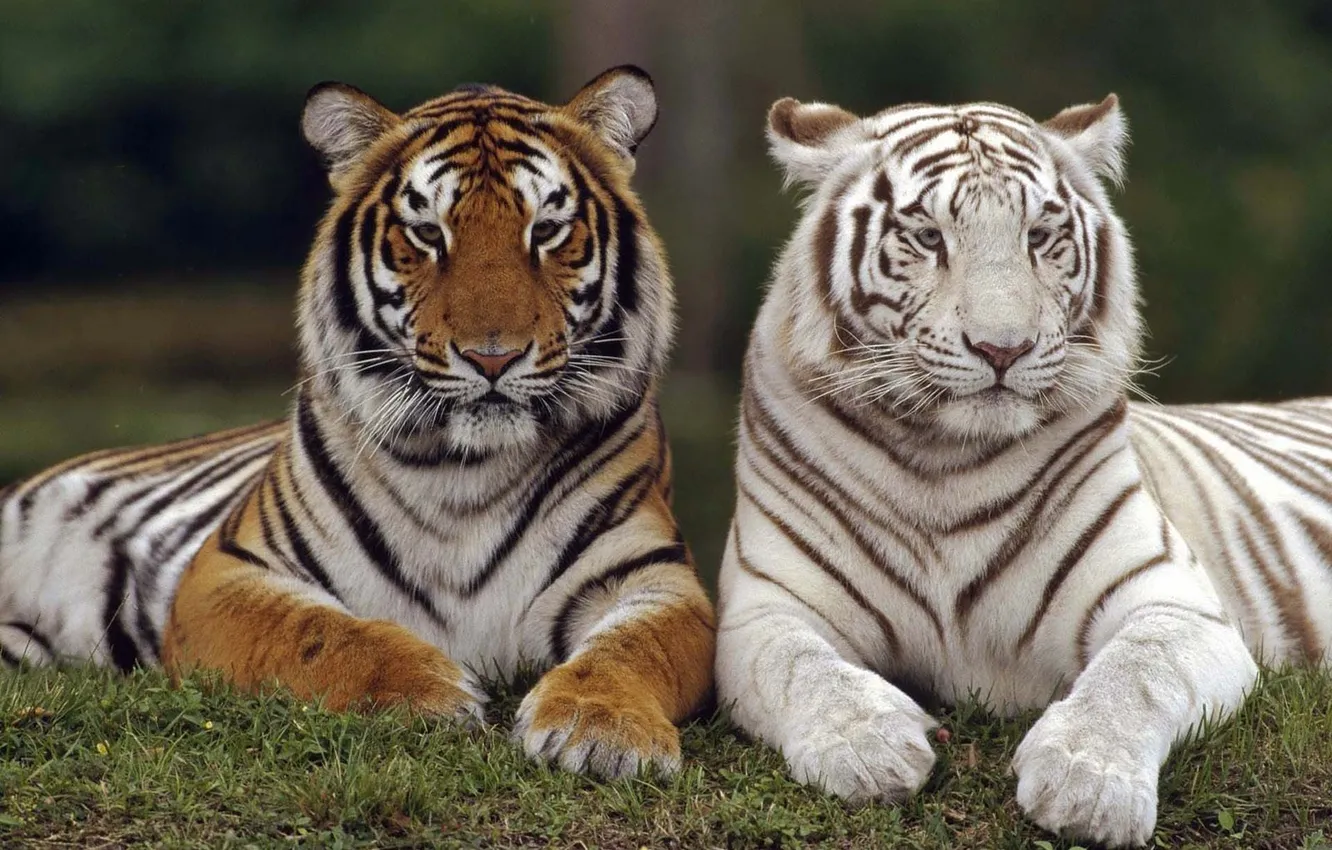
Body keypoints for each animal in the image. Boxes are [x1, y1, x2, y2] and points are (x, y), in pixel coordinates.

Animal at [0, 65, 716, 779]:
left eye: (546, 230)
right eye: (427, 233)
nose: (493, 356)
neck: (467, 472)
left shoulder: (654, 576)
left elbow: (632, 649)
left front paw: (602, 728)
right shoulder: (229, 572)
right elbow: (320, 634)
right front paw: (430, 690)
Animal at [715, 91, 1332, 847]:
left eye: (1039, 235)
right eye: (927, 237)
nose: (1003, 348)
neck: (944, 461)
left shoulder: (1174, 601)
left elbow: (1136, 672)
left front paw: (1086, 783)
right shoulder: (765, 608)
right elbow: (801, 668)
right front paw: (869, 747)